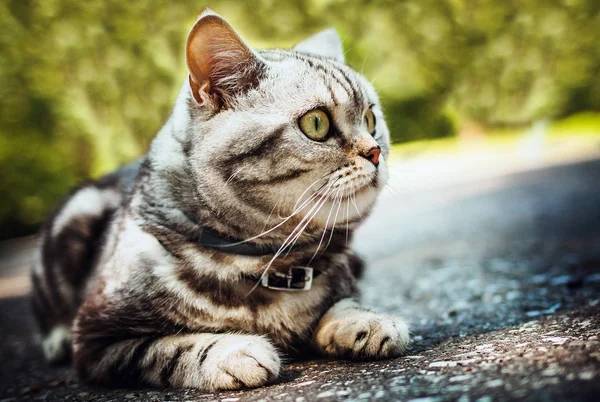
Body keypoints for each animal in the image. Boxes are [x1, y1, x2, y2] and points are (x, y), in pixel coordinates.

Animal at [30, 9, 410, 392]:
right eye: (316, 123)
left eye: (371, 119)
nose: (375, 152)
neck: (270, 262)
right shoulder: (99, 340)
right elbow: (171, 347)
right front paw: (234, 351)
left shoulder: (338, 282)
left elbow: (343, 303)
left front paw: (367, 322)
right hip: (77, 216)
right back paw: (56, 339)